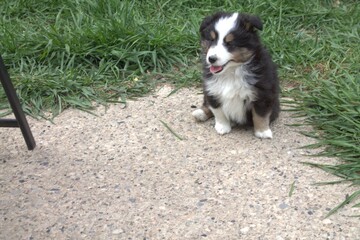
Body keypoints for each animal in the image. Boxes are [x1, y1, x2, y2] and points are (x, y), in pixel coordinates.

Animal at [193, 11, 280, 139]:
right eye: (211, 40)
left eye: (229, 43)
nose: (211, 59)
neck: (232, 71)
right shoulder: (212, 90)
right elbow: (218, 111)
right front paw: (222, 127)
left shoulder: (263, 93)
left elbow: (260, 114)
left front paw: (262, 132)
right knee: (207, 104)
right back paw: (200, 113)